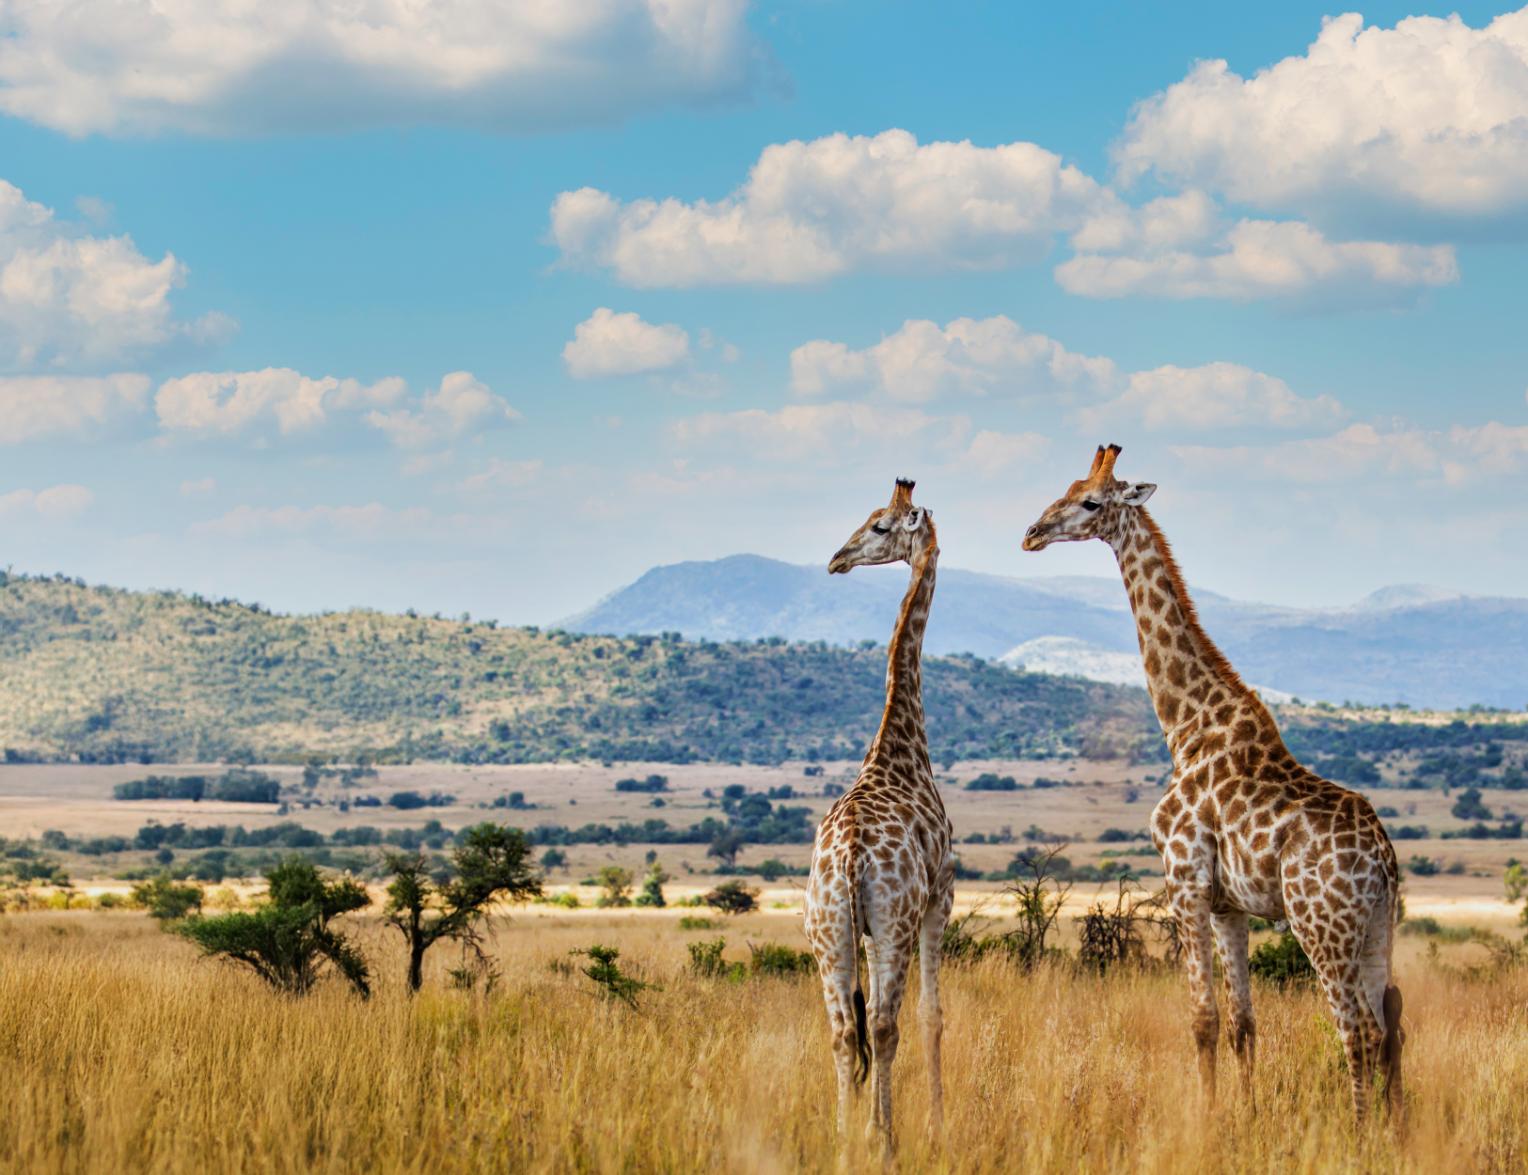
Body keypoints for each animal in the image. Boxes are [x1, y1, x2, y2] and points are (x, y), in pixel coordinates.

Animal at [1021, 444, 1404, 1121]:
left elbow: (1201, 1019)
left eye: (1090, 502)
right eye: (1064, 488)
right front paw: (1244, 1117)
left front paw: (1204, 1121)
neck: (1188, 725)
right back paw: (1393, 1131)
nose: (1032, 533)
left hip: (1321, 924)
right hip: (1379, 925)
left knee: (1355, 1028)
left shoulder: (1185, 882)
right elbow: (1242, 1023)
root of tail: (1382, 859)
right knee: (1386, 1026)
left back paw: (1361, 1132)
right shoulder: (1229, 905)